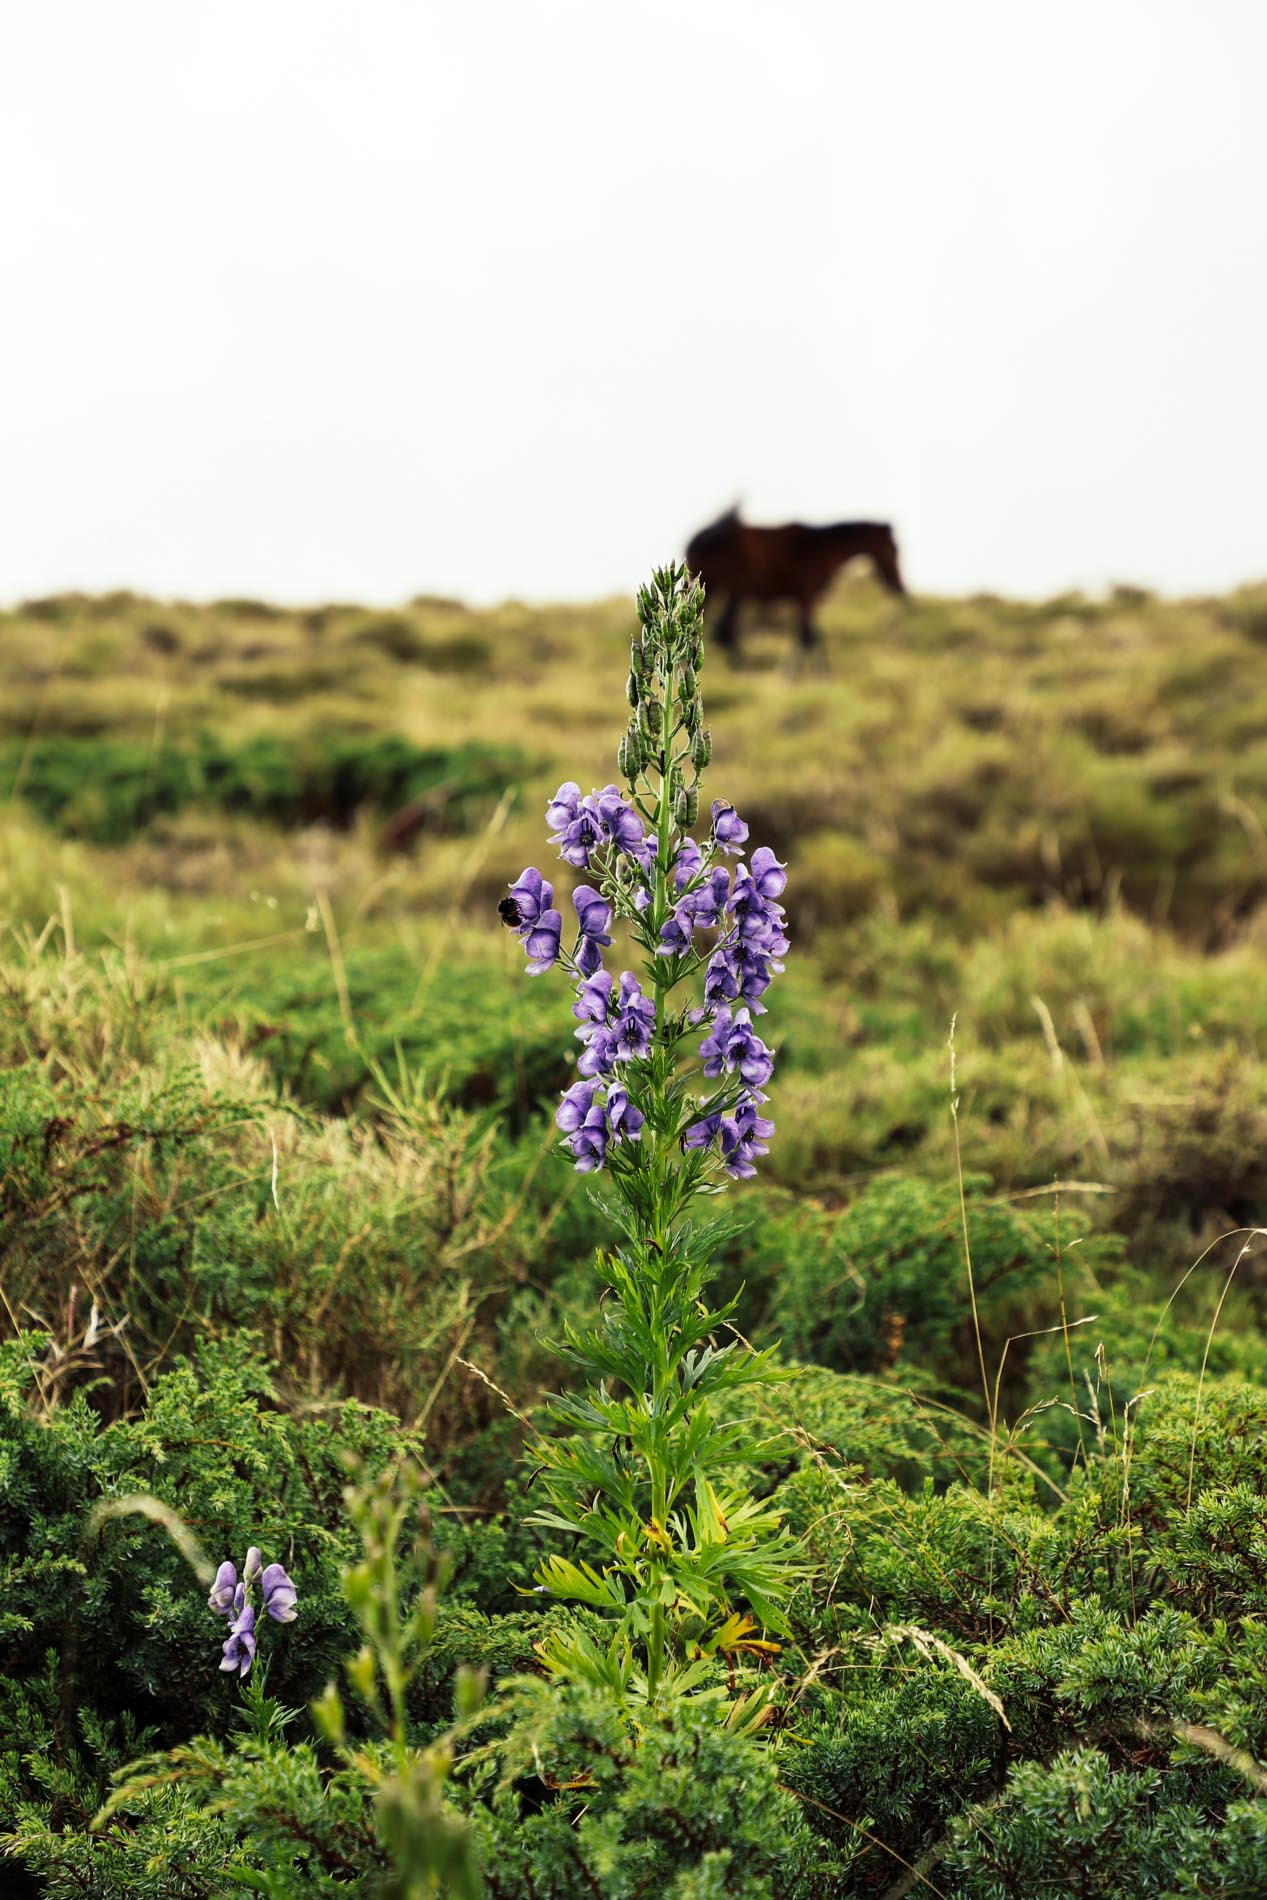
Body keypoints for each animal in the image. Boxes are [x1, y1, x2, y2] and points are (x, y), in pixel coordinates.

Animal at [687, 509, 907, 657]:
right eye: (894, 549)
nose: (899, 587)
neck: (823, 548)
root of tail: (696, 539)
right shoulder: (807, 598)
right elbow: (808, 640)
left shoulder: (806, 600)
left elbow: (807, 638)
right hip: (723, 590)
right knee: (720, 632)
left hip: (726, 591)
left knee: (723, 632)